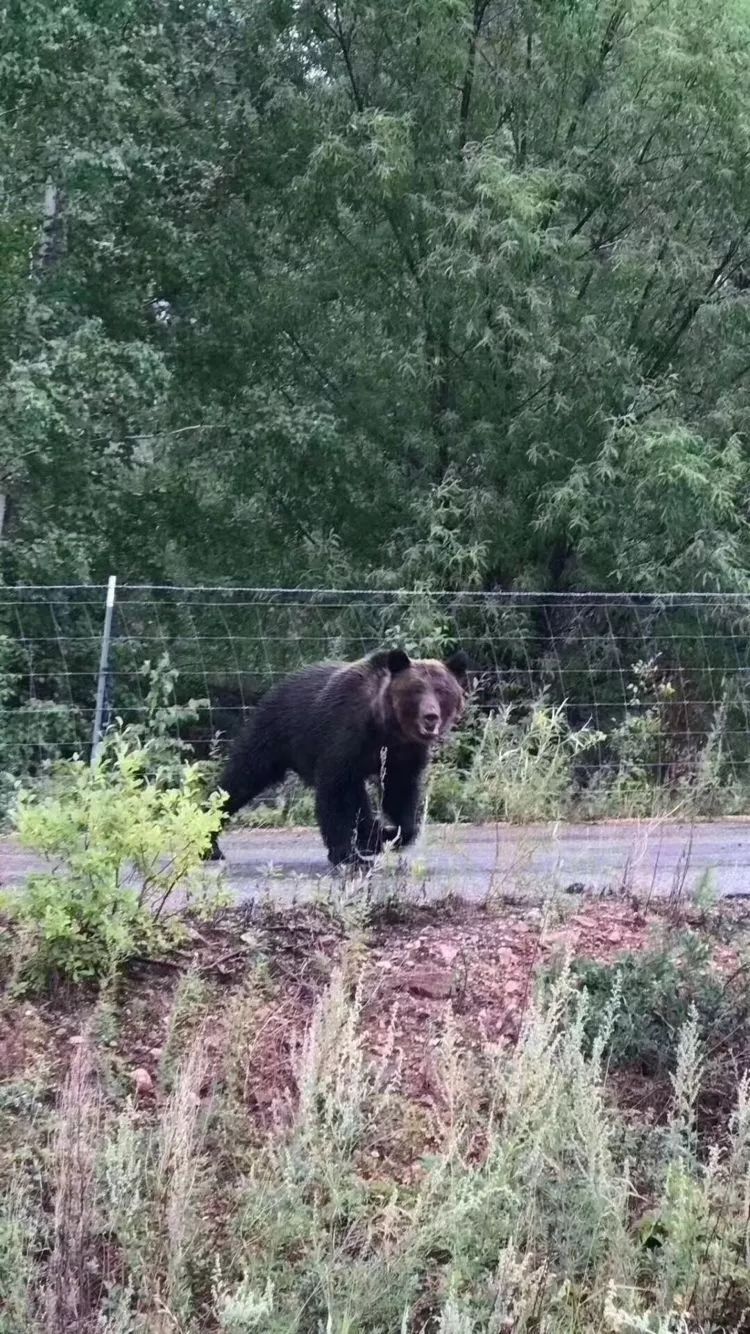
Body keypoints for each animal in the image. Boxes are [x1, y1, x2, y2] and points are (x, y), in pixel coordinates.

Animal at [206, 645, 467, 864]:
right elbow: (336, 792)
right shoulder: (345, 736)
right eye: (416, 690)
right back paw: (211, 844)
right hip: (273, 732)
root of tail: (276, 686)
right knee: (242, 778)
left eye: (442, 690)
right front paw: (346, 853)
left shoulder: (404, 754)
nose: (430, 716)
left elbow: (401, 794)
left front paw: (391, 833)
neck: (386, 727)